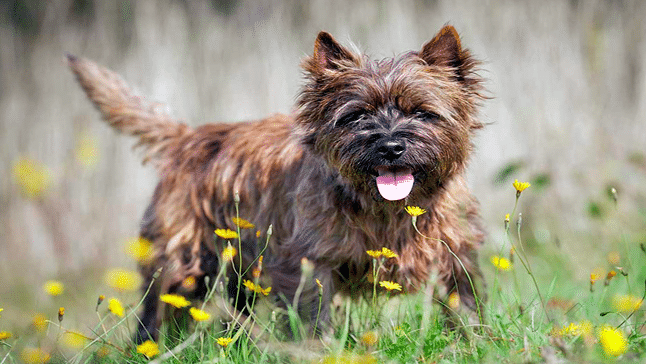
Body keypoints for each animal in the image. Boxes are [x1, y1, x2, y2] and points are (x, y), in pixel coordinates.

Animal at [68, 24, 488, 342]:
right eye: (357, 116)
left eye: (422, 112)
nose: (390, 146)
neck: (388, 209)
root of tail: (187, 138)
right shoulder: (307, 263)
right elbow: (314, 318)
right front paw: (321, 351)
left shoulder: (455, 252)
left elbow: (464, 302)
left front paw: (474, 341)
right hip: (182, 263)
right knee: (157, 311)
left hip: (239, 272)